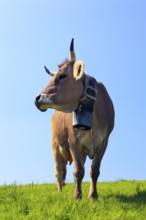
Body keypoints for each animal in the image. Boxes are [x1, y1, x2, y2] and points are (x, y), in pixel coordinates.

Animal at [34, 39, 114, 199]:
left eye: (62, 76)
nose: (37, 98)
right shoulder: (73, 141)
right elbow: (78, 171)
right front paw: (77, 197)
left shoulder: (104, 141)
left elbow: (94, 171)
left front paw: (93, 196)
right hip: (55, 146)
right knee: (58, 171)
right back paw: (59, 191)